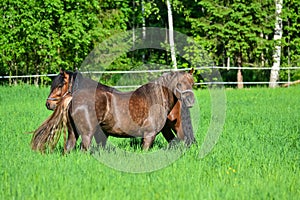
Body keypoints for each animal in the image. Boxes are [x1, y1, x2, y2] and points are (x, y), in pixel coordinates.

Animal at [44, 69, 195, 151]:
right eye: (179, 84)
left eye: (192, 83)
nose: (48, 104)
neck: (155, 98)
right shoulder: (148, 135)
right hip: (85, 134)